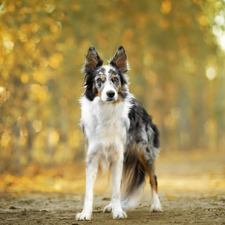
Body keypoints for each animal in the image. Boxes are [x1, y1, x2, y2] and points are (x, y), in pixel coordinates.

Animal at [76, 45, 161, 220]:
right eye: (99, 80)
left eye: (115, 79)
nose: (111, 94)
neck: (105, 112)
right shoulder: (93, 157)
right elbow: (89, 191)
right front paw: (86, 213)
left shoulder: (117, 156)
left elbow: (116, 189)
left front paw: (118, 212)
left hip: (144, 151)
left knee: (153, 177)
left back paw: (156, 205)